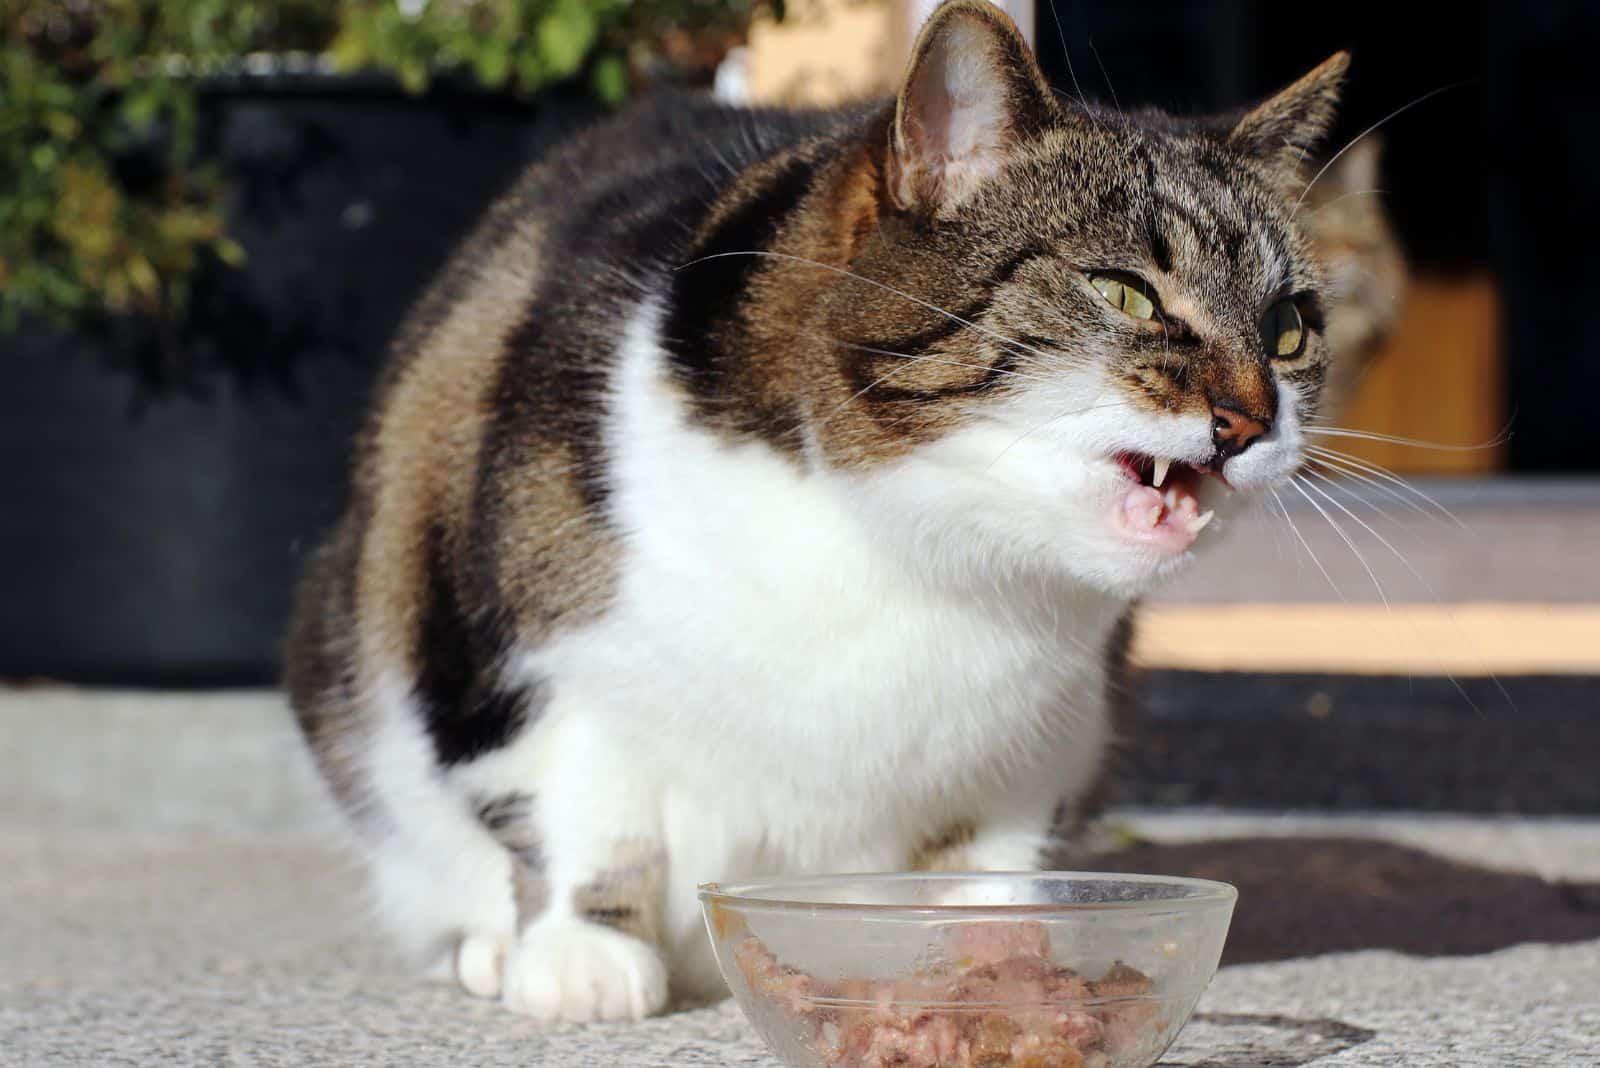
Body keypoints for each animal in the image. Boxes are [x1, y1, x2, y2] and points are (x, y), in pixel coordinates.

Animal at [291, 0, 1363, 1023]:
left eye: (1289, 327)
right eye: (1125, 292)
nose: (1254, 417)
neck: (912, 554)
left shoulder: (1040, 746)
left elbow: (993, 864)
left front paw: (1006, 962)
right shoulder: (531, 660)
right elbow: (587, 807)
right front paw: (583, 953)